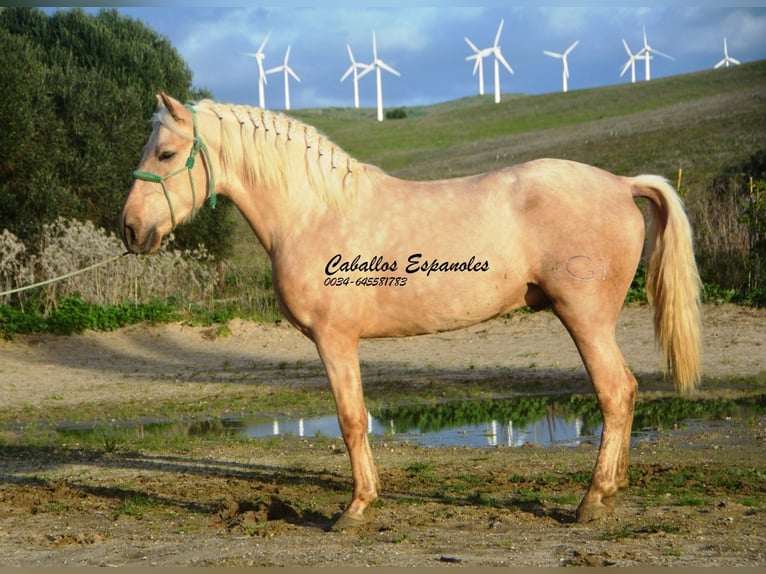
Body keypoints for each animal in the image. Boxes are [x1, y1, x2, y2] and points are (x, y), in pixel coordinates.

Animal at [119, 90, 702, 528]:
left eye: (165, 154)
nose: (130, 228)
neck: (315, 212)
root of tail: (622, 184)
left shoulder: (335, 340)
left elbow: (351, 419)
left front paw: (355, 509)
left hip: (586, 320)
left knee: (615, 393)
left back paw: (592, 500)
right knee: (626, 391)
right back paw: (612, 489)